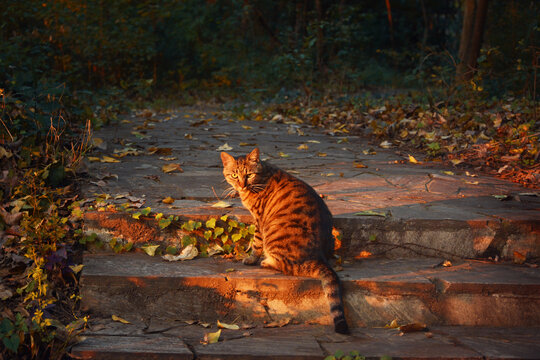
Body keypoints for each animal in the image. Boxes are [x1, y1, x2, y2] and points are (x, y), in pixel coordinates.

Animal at [220, 148, 350, 334]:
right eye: (234, 175)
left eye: (249, 175)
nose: (241, 186)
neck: (261, 177)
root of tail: (319, 257)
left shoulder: (259, 220)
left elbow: (256, 243)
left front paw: (251, 258)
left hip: (274, 231)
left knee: (289, 266)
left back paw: (267, 262)